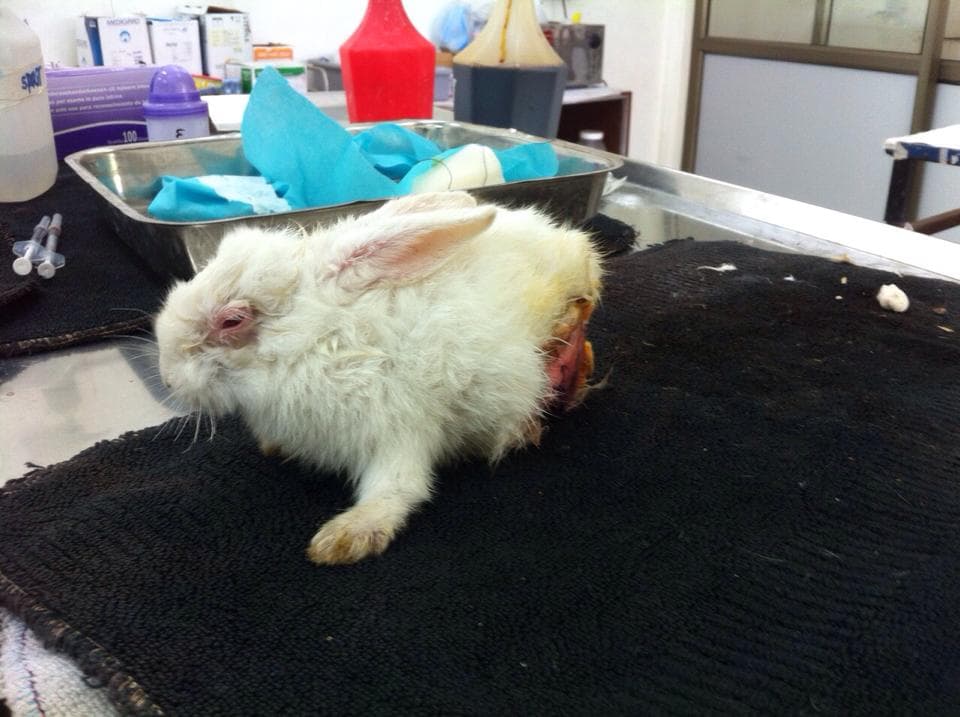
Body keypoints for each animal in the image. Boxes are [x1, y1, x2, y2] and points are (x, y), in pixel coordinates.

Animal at [155, 191, 602, 565]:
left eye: (232, 320)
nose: (167, 378)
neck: (324, 338)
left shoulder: (401, 428)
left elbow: (398, 488)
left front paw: (345, 538)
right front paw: (274, 446)